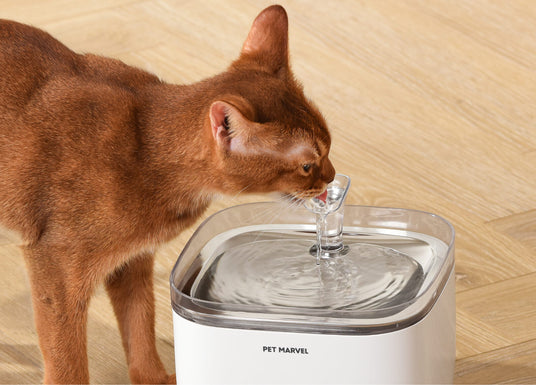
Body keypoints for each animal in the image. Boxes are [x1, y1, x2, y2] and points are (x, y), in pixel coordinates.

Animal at [0, 3, 336, 384]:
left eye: (329, 144)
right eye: (307, 165)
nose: (331, 177)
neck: (145, 145)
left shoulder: (132, 258)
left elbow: (139, 322)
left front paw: (154, 378)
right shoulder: (55, 266)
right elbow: (66, 359)